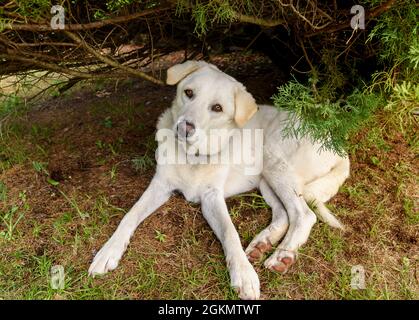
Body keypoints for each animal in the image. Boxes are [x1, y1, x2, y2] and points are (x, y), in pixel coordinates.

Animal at [89, 60, 352, 300]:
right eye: (188, 93)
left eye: (217, 108)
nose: (185, 128)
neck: (193, 156)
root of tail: (337, 145)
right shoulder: (160, 186)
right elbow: (129, 215)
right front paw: (108, 251)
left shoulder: (211, 197)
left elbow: (230, 233)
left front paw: (243, 274)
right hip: (265, 178)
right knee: (284, 214)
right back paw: (262, 244)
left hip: (274, 161)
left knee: (303, 215)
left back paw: (283, 255)